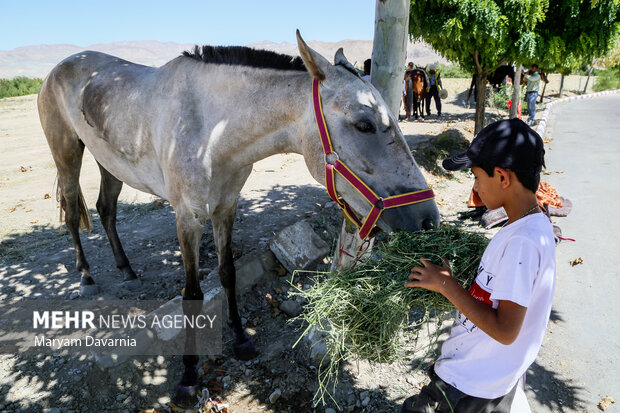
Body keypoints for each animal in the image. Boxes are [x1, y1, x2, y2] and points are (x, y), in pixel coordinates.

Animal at [37, 31, 440, 400]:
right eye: (364, 124)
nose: (428, 220)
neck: (210, 129)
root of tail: (61, 66)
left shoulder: (227, 206)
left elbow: (227, 273)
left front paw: (241, 338)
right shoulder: (188, 218)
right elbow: (192, 293)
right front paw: (189, 375)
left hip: (111, 165)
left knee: (106, 210)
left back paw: (127, 270)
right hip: (66, 154)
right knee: (72, 213)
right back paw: (87, 277)